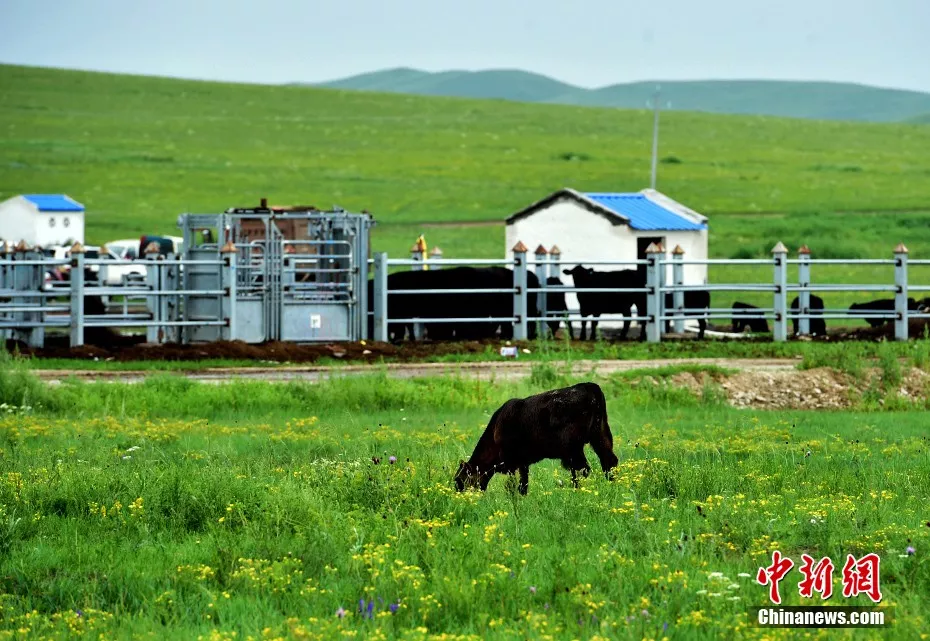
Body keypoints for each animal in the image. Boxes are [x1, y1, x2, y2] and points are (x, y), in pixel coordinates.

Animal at [452, 380, 616, 496]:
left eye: (460, 479)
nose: (459, 494)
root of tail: (588, 386)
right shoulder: (523, 463)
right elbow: (523, 485)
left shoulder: (512, 462)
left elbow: (513, 485)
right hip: (600, 438)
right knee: (608, 461)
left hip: (573, 449)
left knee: (582, 469)